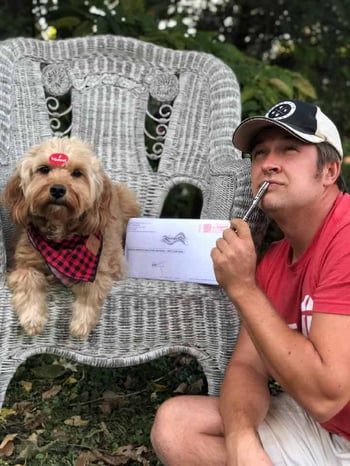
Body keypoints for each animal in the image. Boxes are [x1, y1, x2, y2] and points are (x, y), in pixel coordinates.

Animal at [3, 137, 139, 336]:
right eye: (44, 169)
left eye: (77, 173)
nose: (58, 189)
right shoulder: (22, 264)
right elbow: (29, 281)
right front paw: (32, 318)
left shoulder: (101, 267)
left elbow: (91, 290)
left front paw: (81, 323)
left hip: (128, 202)